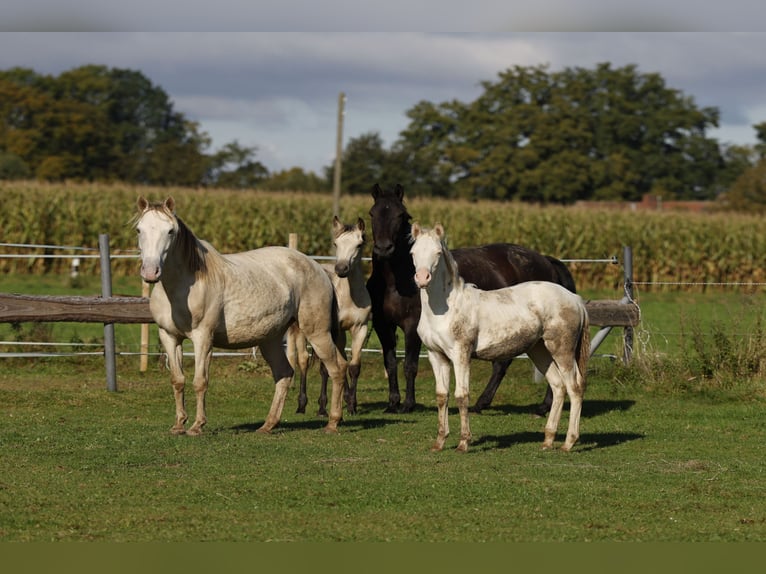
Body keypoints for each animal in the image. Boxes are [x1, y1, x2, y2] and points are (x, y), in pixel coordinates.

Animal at [134, 198, 348, 436]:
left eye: (170, 231)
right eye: (139, 229)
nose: (150, 272)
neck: (183, 287)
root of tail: (319, 269)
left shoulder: (203, 338)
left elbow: (200, 381)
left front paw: (197, 426)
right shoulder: (169, 337)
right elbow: (177, 380)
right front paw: (179, 424)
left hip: (317, 332)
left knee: (337, 369)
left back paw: (332, 422)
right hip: (270, 339)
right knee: (284, 374)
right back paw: (268, 425)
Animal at [288, 216, 372, 418]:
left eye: (359, 244)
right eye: (336, 244)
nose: (341, 269)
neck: (349, 298)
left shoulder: (360, 328)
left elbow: (353, 366)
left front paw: (351, 405)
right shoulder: (333, 330)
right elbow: (326, 367)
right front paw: (322, 407)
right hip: (303, 330)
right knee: (304, 361)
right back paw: (303, 405)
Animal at [366, 186, 576, 418]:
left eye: (401, 215)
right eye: (372, 213)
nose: (384, 248)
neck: (395, 281)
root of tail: (546, 261)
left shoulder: (412, 326)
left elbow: (409, 365)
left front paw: (408, 405)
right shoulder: (382, 326)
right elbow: (390, 363)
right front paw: (392, 403)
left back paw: (541, 406)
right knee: (504, 364)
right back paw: (485, 403)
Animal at [412, 224, 592, 454]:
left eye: (437, 252)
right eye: (413, 252)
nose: (422, 278)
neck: (445, 308)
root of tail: (575, 300)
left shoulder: (460, 355)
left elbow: (462, 396)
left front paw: (463, 443)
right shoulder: (436, 356)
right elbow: (442, 396)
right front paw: (439, 442)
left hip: (562, 350)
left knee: (574, 387)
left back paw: (569, 442)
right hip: (539, 350)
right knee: (558, 386)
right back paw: (548, 440)